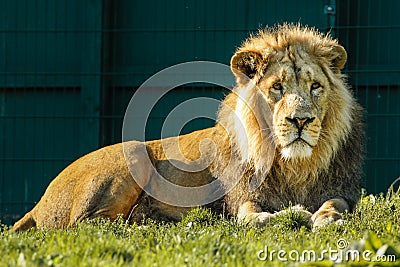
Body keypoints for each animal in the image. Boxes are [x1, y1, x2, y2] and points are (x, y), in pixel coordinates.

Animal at [12, 25, 364, 232]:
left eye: (315, 87)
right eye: (277, 87)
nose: (301, 120)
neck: (293, 165)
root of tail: (38, 203)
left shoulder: (340, 190)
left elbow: (336, 204)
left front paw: (327, 218)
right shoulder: (242, 196)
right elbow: (251, 215)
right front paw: (283, 217)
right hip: (132, 152)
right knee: (88, 226)